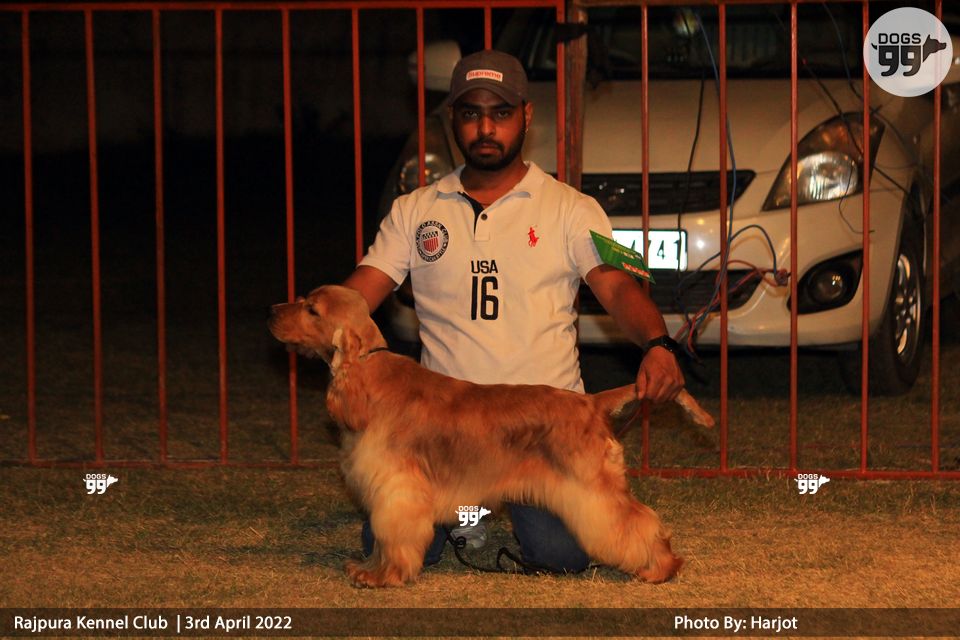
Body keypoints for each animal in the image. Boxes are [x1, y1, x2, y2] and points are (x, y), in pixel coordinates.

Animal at [269, 285, 713, 587]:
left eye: (311, 309)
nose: (272, 310)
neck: (368, 378)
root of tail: (590, 403)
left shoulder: (396, 488)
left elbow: (391, 536)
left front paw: (384, 576)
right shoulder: (384, 490)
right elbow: (377, 538)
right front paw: (366, 568)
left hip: (592, 489)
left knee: (638, 520)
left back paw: (660, 567)